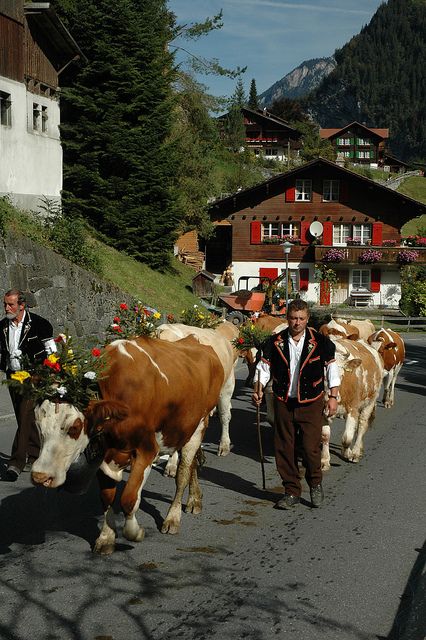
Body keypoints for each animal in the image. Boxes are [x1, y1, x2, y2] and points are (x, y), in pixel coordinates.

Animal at [30, 336, 223, 556]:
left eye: (75, 427)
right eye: (37, 424)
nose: (40, 476)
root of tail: (195, 341)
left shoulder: (147, 449)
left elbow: (129, 499)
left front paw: (135, 532)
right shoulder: (104, 454)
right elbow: (107, 497)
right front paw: (106, 538)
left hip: (199, 424)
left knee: (183, 472)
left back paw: (173, 518)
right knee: (193, 465)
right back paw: (194, 499)